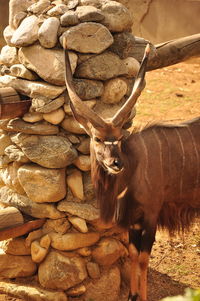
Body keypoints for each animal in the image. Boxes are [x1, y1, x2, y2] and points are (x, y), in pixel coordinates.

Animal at [63, 42, 200, 300]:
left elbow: (144, 258)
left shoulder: (151, 214)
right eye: (97, 138)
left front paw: (142, 296)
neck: (134, 166)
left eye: (118, 138)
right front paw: (131, 295)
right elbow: (135, 254)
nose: (116, 163)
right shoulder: (134, 220)